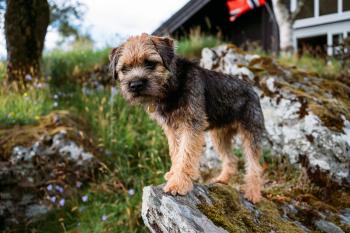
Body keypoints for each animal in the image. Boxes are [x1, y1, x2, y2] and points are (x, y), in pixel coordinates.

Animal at [109, 32, 266, 202]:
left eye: (150, 63)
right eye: (125, 69)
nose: (135, 85)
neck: (173, 86)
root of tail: (252, 89)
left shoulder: (191, 125)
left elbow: (186, 154)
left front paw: (178, 183)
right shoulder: (171, 129)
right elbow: (176, 152)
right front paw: (174, 173)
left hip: (251, 132)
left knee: (254, 165)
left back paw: (253, 192)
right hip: (219, 136)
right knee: (231, 159)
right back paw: (222, 179)